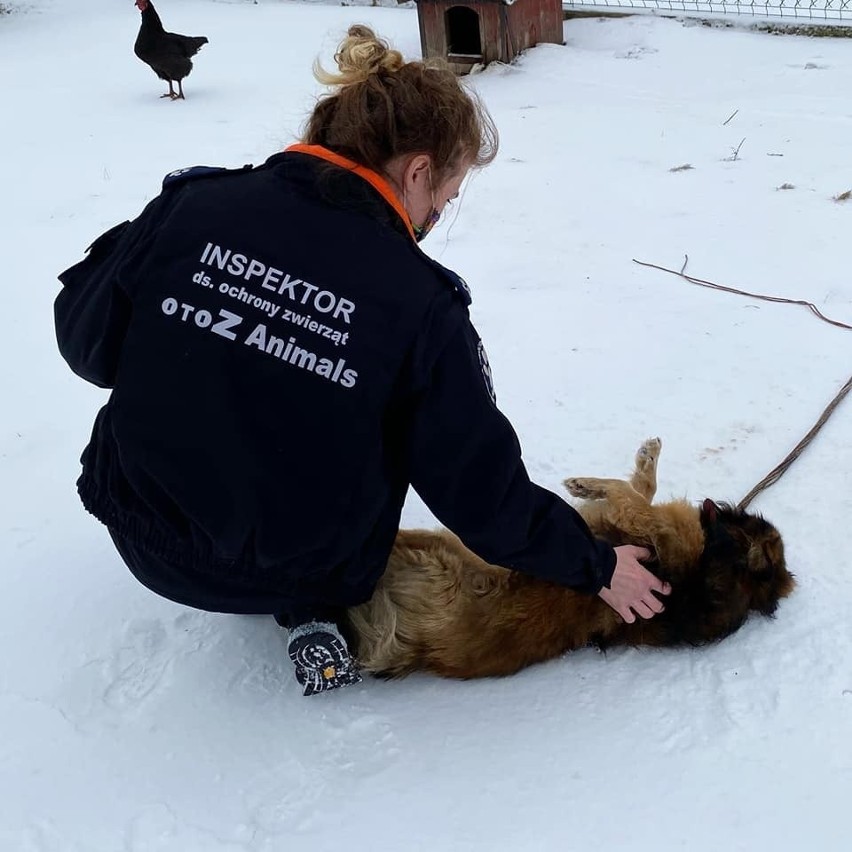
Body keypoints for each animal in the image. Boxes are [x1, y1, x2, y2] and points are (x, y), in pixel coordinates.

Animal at [344, 440, 792, 680]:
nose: (716, 505)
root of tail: (419, 651)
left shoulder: (649, 527)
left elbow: (629, 496)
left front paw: (587, 483)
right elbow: (641, 490)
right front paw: (645, 457)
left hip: (448, 549)